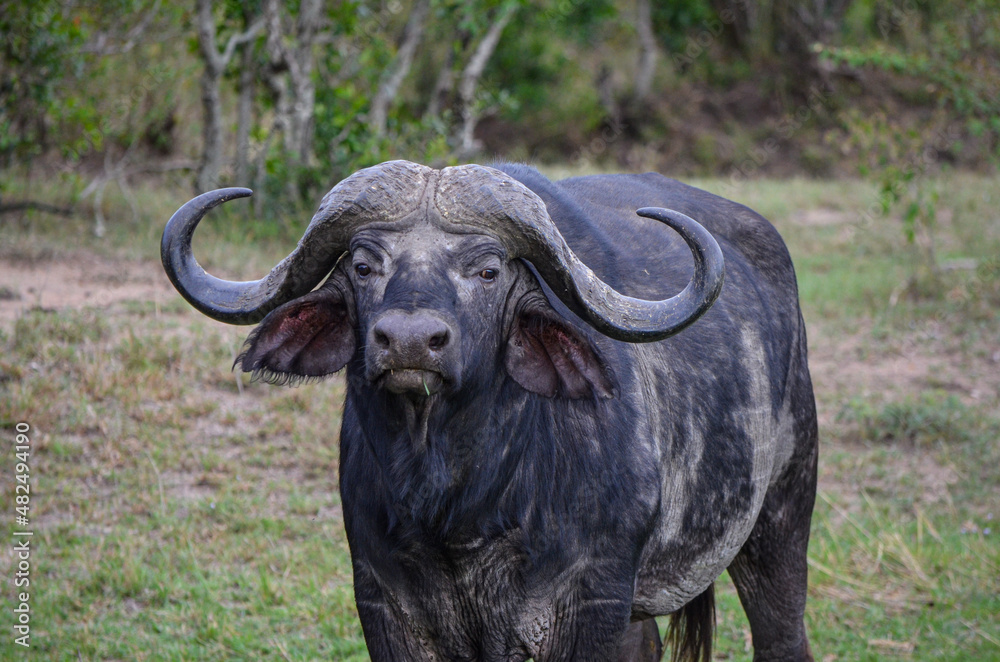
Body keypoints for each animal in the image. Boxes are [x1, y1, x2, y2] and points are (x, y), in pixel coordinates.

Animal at [162, 160, 817, 661]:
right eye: (363, 265)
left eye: (488, 269)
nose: (409, 341)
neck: (460, 501)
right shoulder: (382, 601)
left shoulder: (591, 602)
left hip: (781, 517)